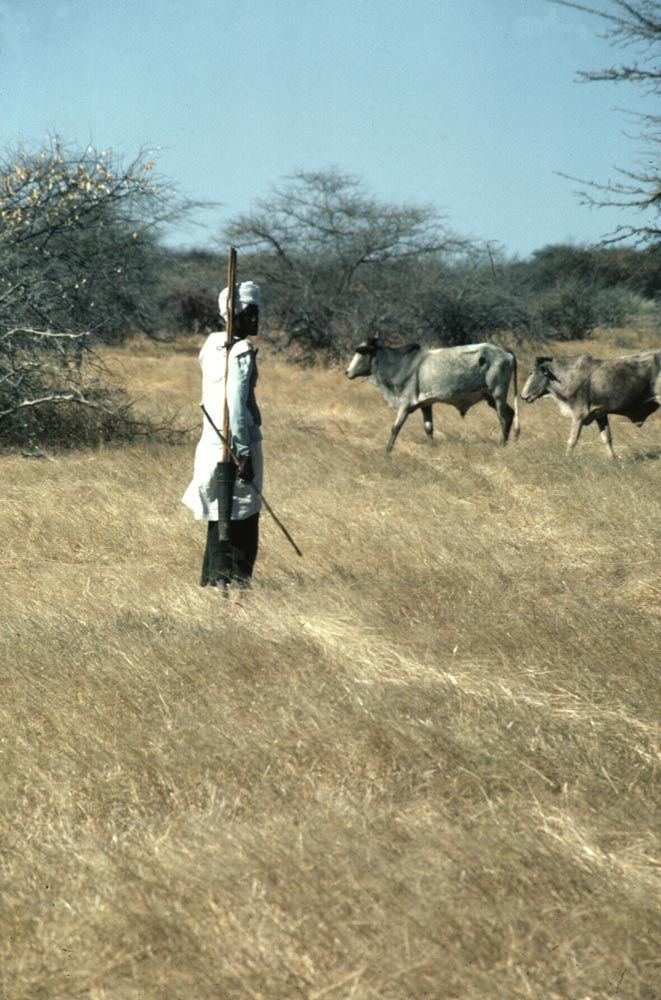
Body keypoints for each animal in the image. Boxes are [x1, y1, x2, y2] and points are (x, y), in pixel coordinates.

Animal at [345, 337, 520, 453]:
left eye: (361, 352)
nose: (347, 372)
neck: (400, 365)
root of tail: (505, 351)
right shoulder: (426, 404)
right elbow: (429, 428)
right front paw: (432, 448)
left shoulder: (405, 404)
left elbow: (395, 428)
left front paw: (387, 451)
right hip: (490, 397)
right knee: (511, 414)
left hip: (498, 394)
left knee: (503, 418)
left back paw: (502, 445)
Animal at [521, 351, 661, 459]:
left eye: (532, 373)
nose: (523, 395)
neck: (566, 376)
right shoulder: (601, 414)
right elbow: (606, 438)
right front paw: (612, 459)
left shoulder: (579, 414)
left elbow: (572, 439)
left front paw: (567, 458)